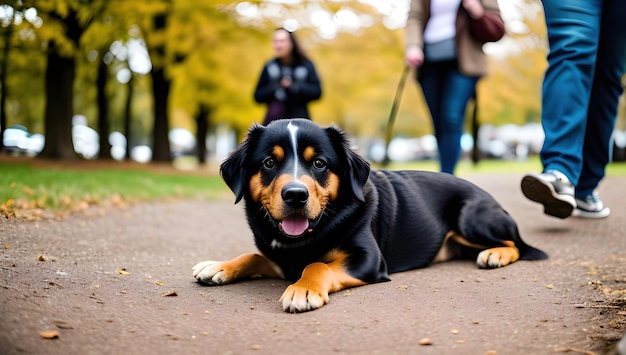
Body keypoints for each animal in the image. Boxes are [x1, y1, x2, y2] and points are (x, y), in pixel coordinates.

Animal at [191, 118, 544, 312]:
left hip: (472, 217)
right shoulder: (278, 258)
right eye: (268, 162)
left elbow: (317, 264)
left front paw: (304, 288)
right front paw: (218, 266)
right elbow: (253, 255)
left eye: (319, 163)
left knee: (516, 244)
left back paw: (495, 254)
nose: (295, 195)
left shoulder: (367, 259)